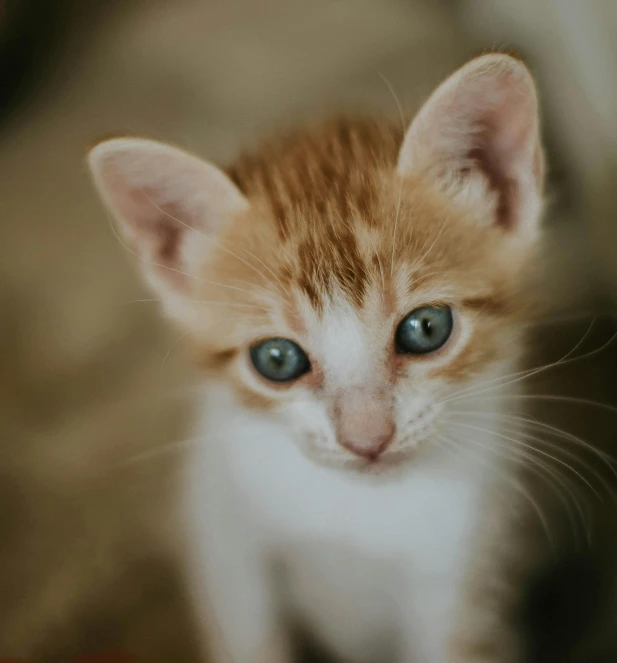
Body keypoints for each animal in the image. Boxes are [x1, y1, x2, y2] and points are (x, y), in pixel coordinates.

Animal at [88, 54, 552, 660]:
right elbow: (250, 633)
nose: (366, 439)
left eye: (427, 328)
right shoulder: (224, 537)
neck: (359, 515)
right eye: (277, 360)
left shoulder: (466, 571)